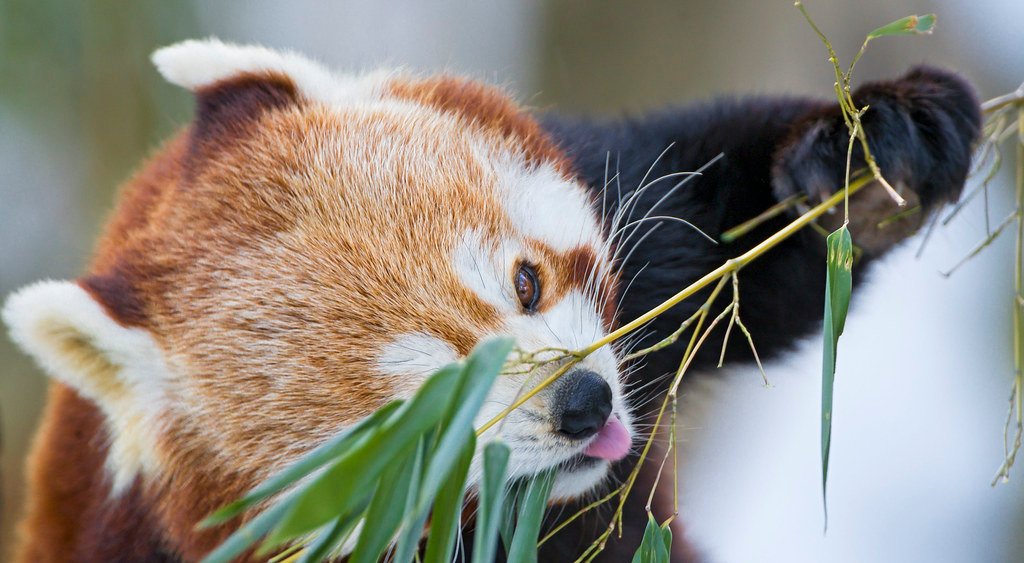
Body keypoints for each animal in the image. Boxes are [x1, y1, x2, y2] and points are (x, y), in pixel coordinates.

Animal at [2, 39, 979, 562]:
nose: (583, 404)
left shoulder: (634, 233)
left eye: (526, 281)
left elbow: (752, 255)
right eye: (428, 407)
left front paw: (867, 159)